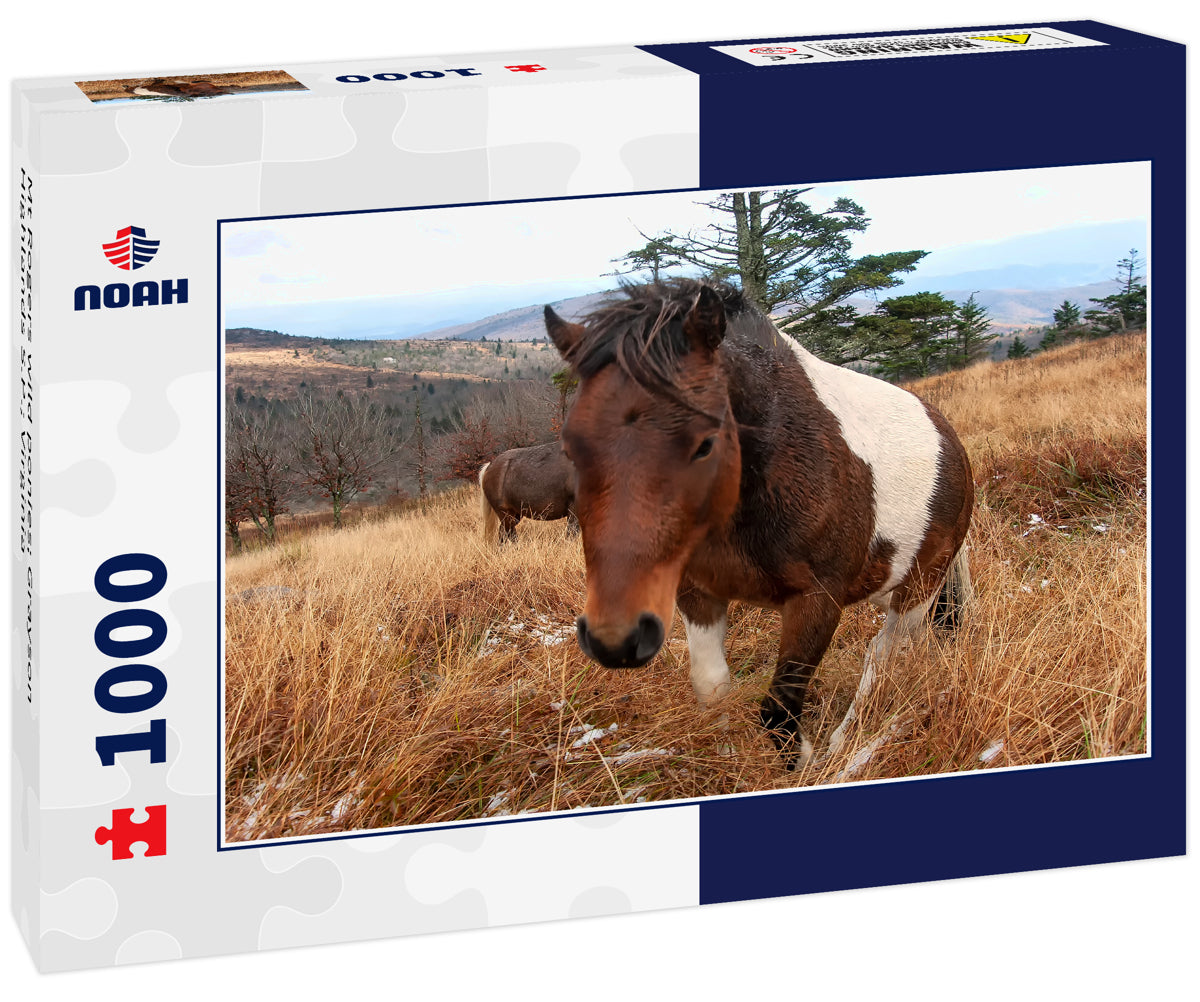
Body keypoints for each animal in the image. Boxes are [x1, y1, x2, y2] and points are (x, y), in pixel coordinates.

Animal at [543, 279, 973, 765]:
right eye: (571, 448)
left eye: (705, 443)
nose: (615, 639)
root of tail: (951, 441)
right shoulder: (698, 594)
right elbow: (711, 687)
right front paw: (727, 755)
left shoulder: (817, 601)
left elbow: (779, 703)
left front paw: (800, 762)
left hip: (920, 586)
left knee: (884, 656)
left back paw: (847, 740)